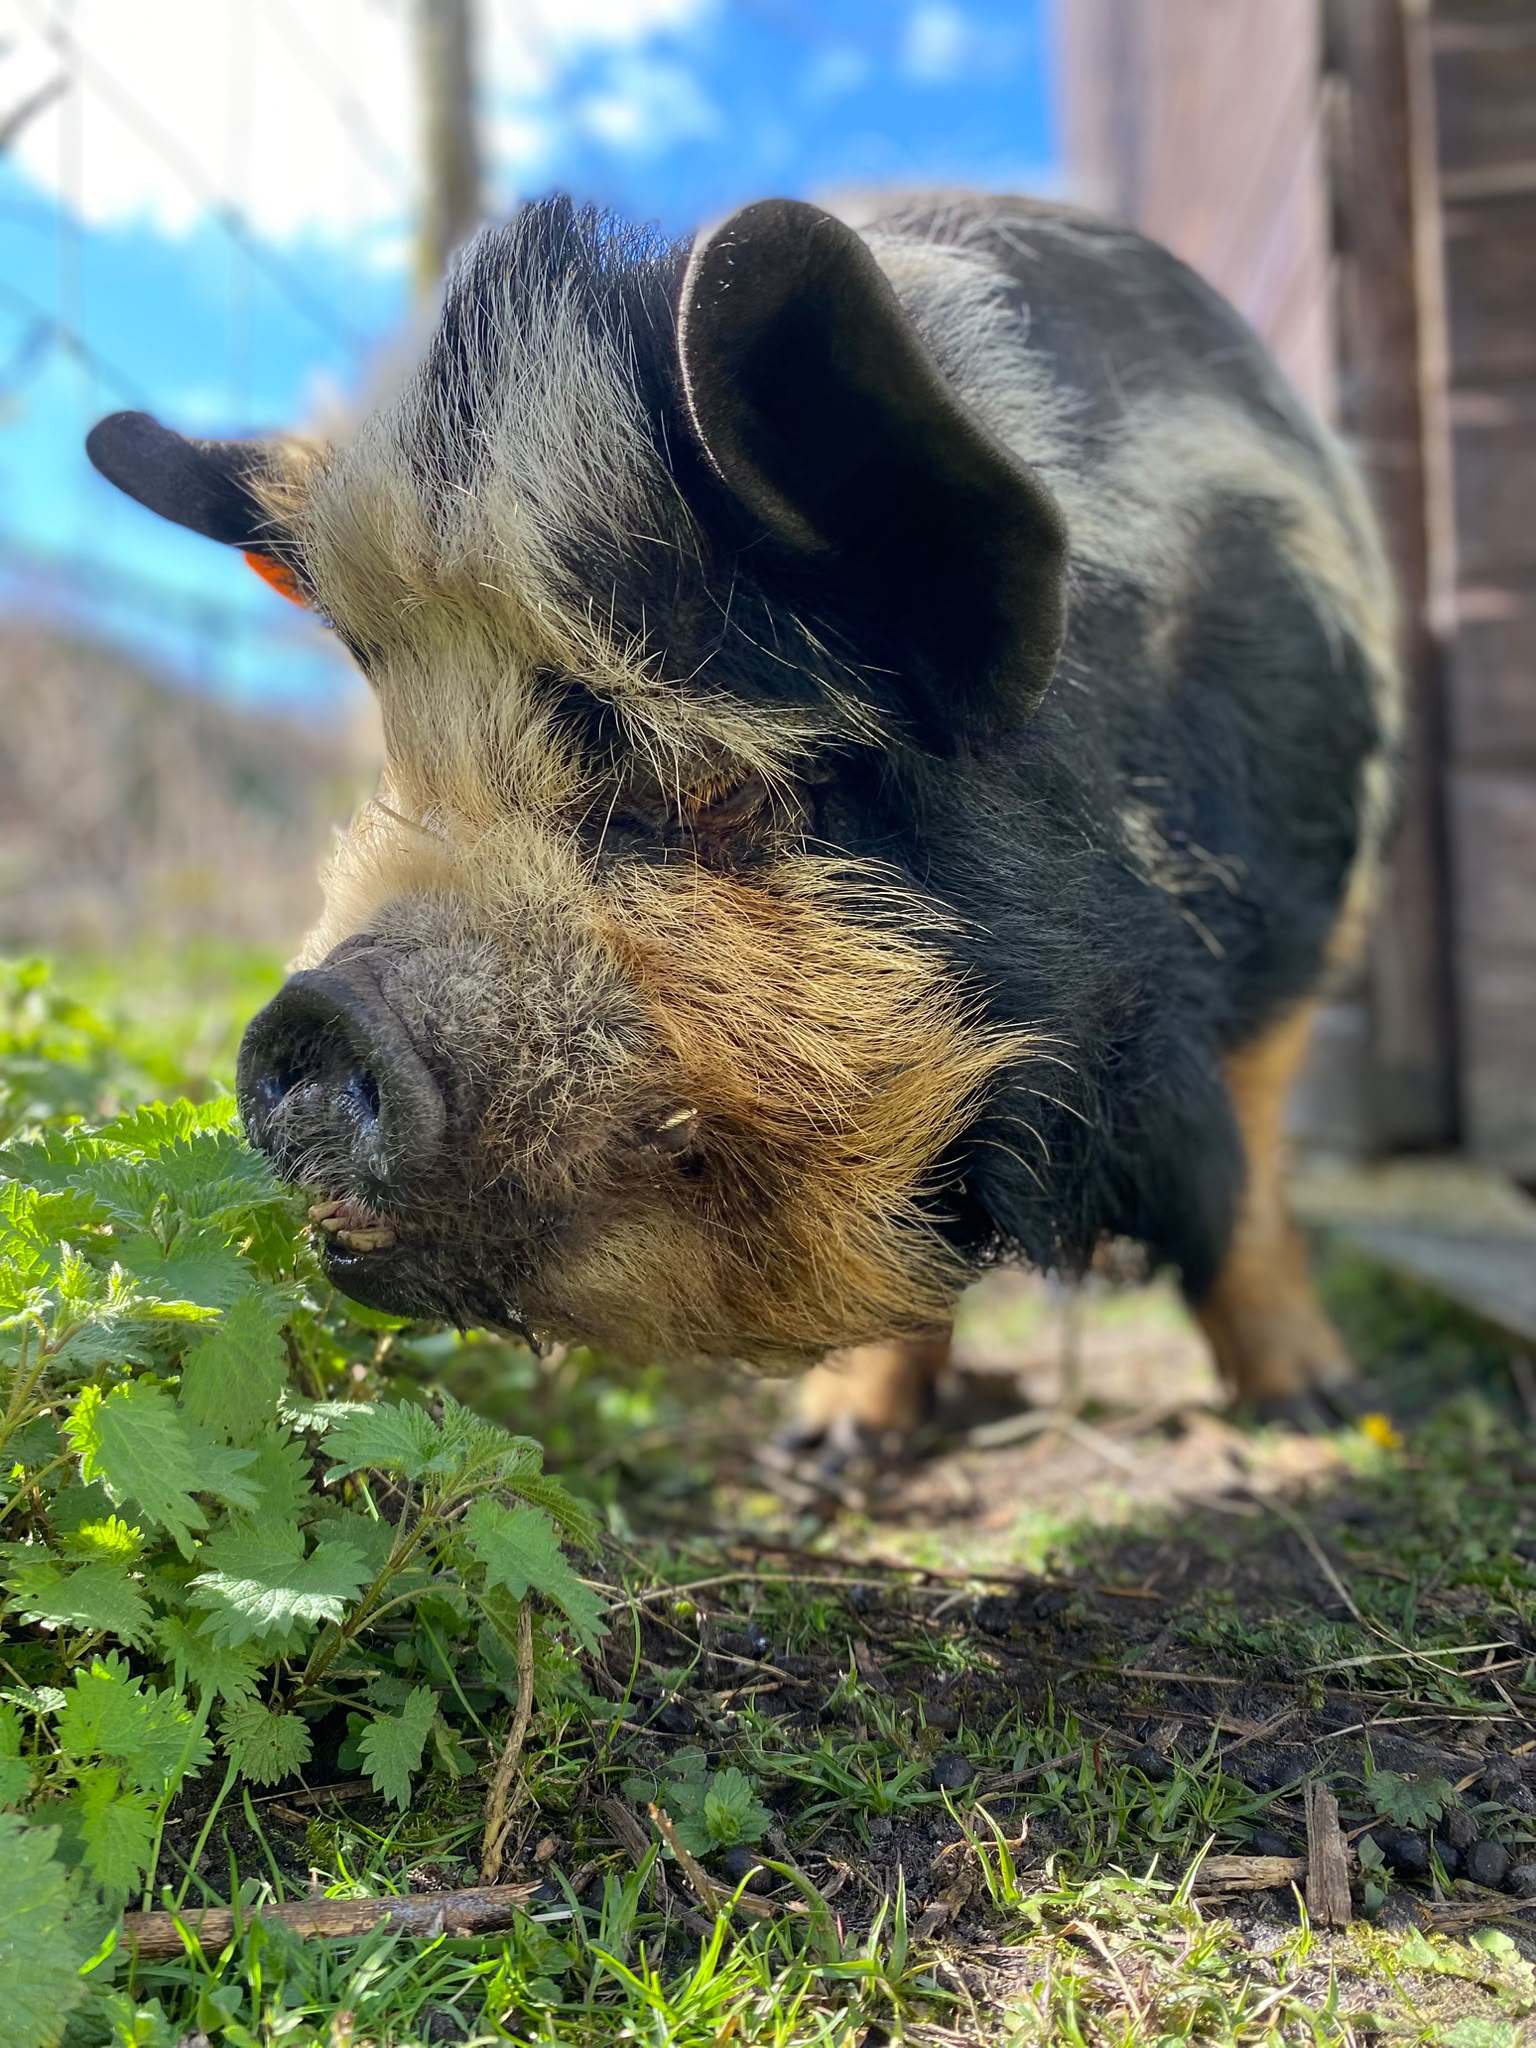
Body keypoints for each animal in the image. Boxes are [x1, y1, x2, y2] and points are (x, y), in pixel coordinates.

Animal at [86, 193, 1398, 1450]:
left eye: (712, 789)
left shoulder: (1297, 924)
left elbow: (1240, 1185)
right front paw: (826, 1455)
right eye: (405, 766)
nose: (309, 1017)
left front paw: (1321, 1419)